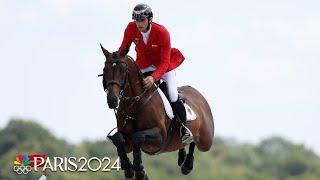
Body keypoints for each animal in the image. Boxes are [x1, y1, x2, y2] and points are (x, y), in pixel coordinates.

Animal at [99, 44, 215, 179]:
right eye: (105, 70)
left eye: (123, 70)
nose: (112, 100)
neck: (135, 103)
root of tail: (198, 95)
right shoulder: (127, 142)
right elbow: (118, 139)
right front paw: (128, 168)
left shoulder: (160, 137)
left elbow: (137, 136)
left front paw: (140, 171)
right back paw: (183, 158)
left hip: (206, 141)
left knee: (195, 142)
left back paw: (187, 164)